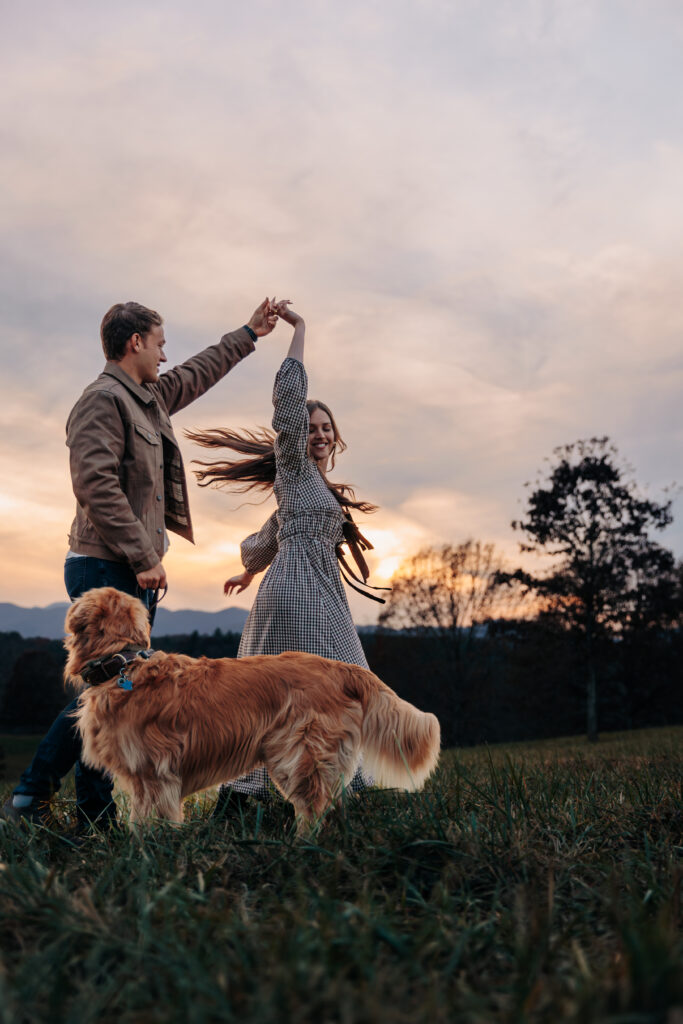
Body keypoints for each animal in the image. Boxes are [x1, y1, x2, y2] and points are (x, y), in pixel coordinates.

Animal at [66, 589, 440, 827]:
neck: (121, 664)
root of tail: (340, 667)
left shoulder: (153, 773)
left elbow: (148, 822)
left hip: (299, 754)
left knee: (314, 807)